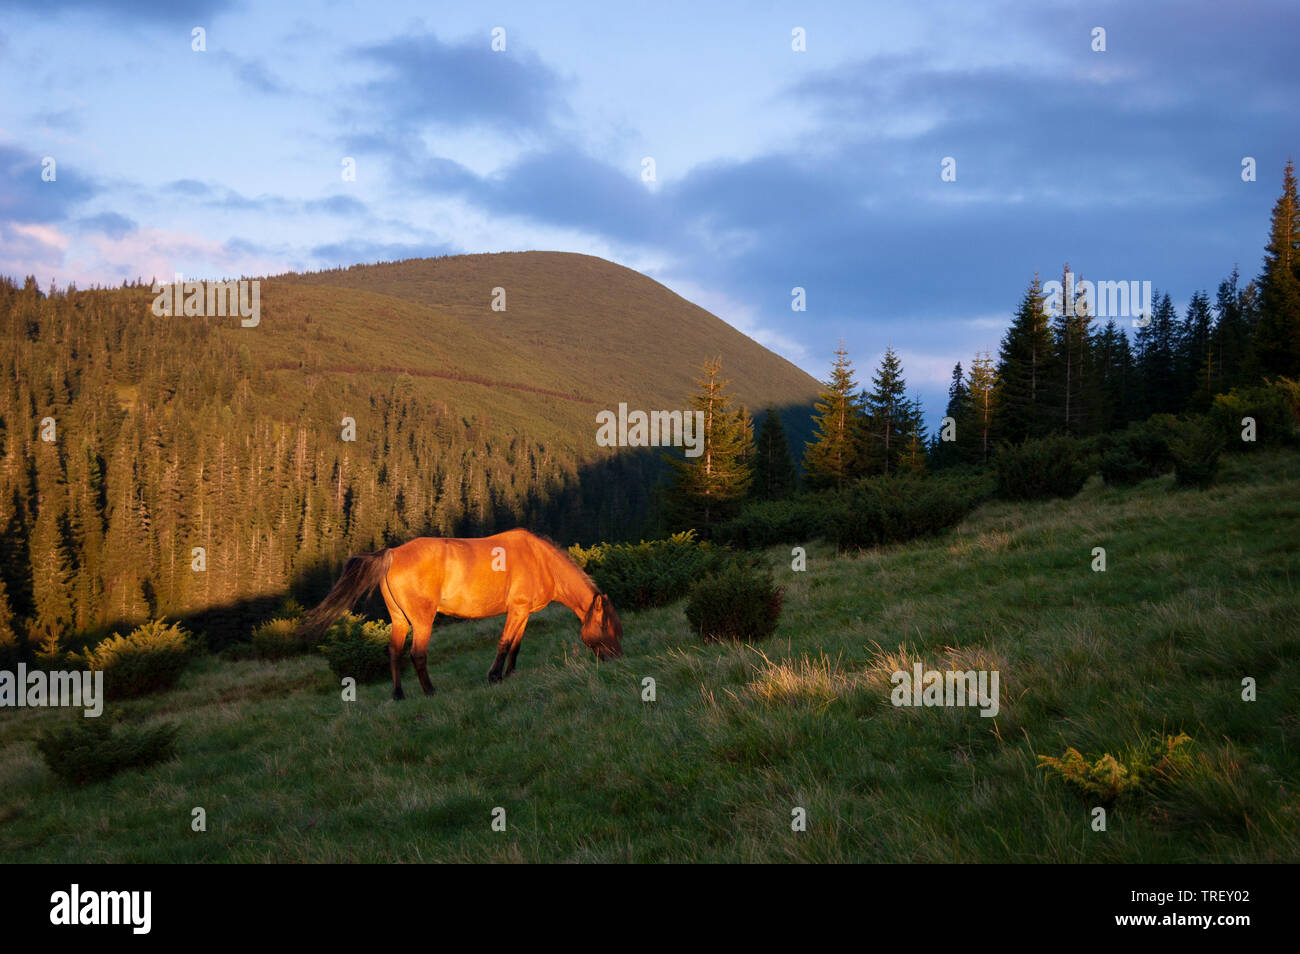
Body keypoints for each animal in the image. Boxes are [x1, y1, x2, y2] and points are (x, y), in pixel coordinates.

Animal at [299, 528, 623, 699]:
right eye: (607, 628)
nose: (617, 659)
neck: (540, 559)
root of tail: (392, 553)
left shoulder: (523, 612)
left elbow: (516, 645)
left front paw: (511, 673)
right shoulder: (517, 609)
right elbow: (505, 643)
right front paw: (494, 676)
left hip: (400, 619)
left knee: (393, 651)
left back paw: (399, 695)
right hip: (422, 620)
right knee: (417, 654)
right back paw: (430, 691)